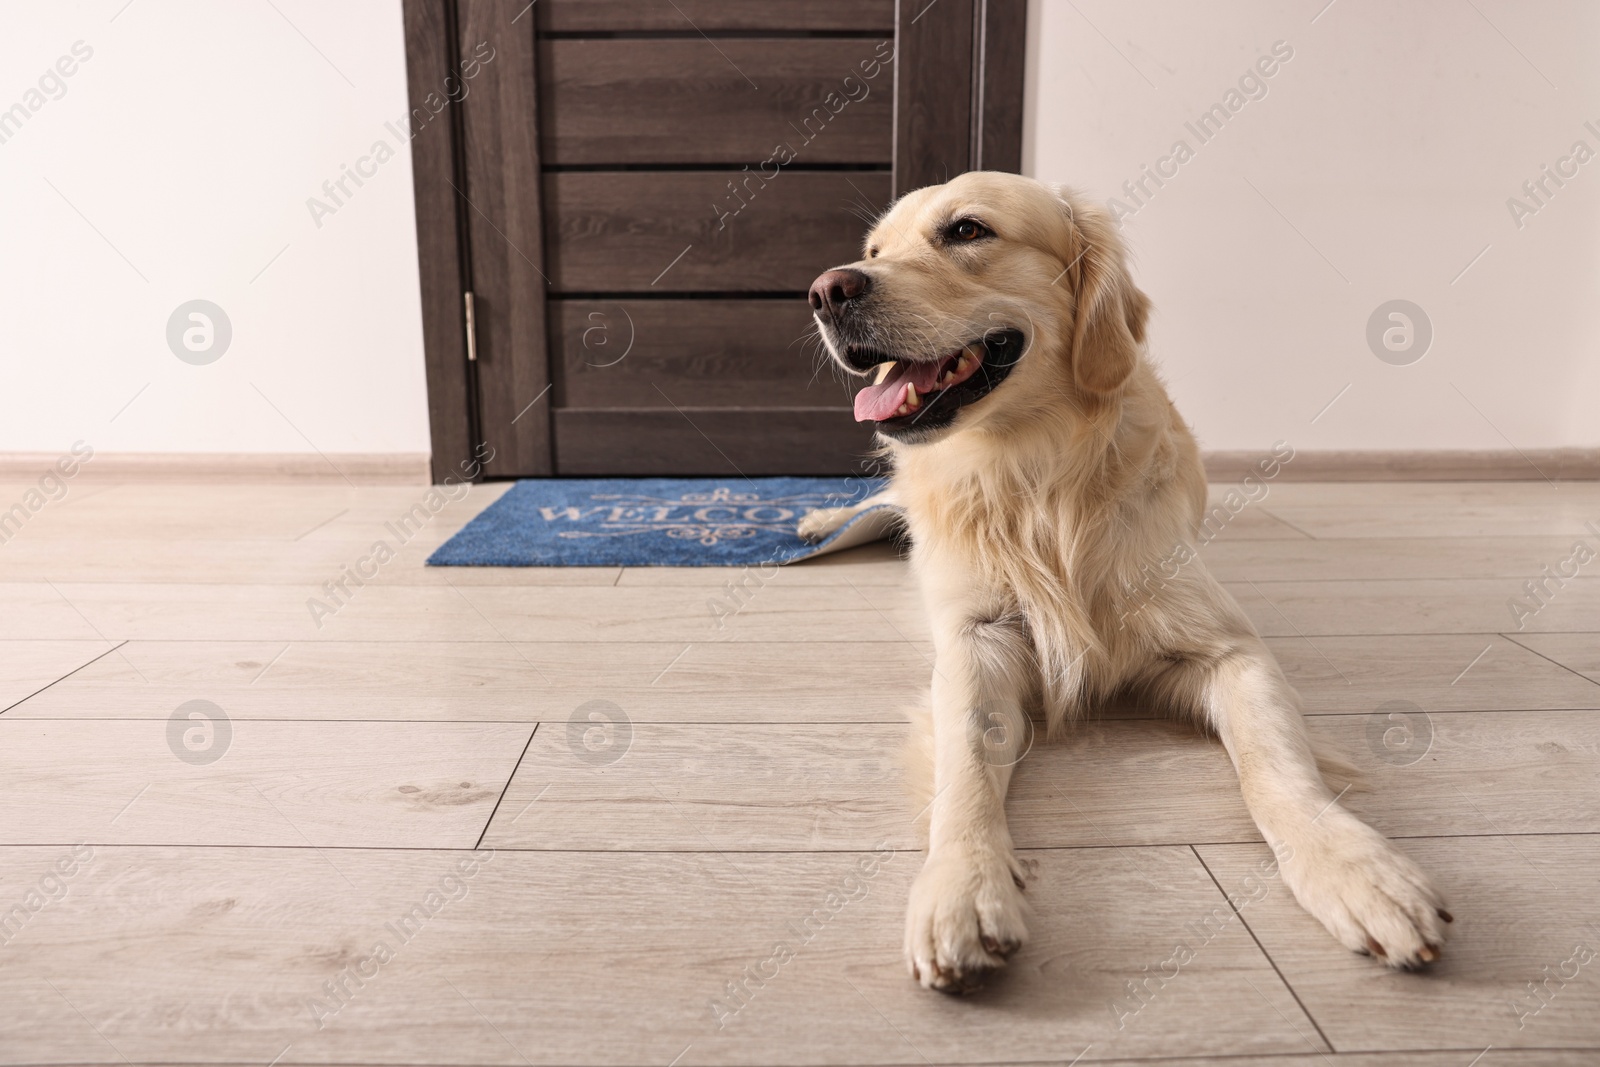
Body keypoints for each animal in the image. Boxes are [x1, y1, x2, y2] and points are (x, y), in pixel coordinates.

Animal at [800, 171, 1452, 998]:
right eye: (876, 251)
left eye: (967, 230)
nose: (826, 290)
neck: (1036, 475)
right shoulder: (976, 638)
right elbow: (967, 771)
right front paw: (961, 887)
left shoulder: (1230, 649)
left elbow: (1277, 765)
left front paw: (1355, 867)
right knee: (878, 506)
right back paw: (816, 523)